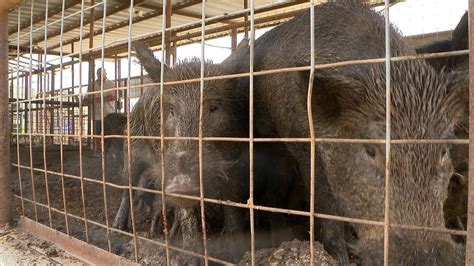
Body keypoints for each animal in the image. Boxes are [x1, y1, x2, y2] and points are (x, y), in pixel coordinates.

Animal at [224, 1, 464, 264]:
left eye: (443, 151)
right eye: (370, 149)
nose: (424, 257)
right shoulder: (302, 141)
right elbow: (326, 201)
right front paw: (340, 256)